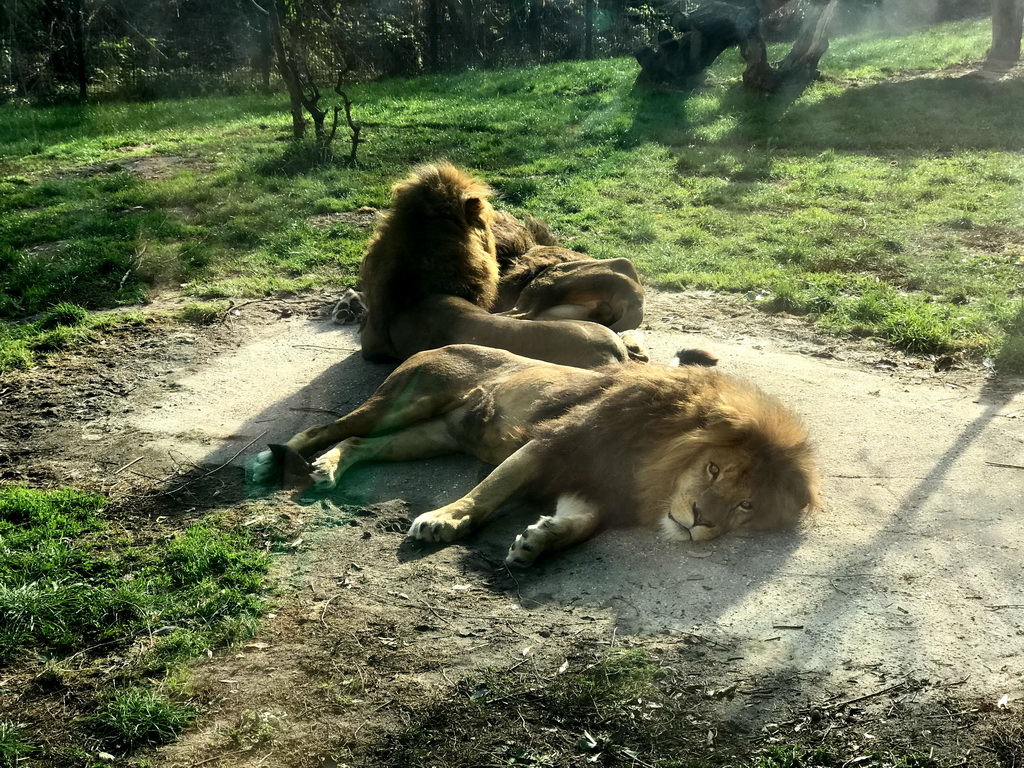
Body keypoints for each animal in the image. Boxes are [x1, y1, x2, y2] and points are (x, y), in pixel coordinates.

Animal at [251, 346, 819, 569]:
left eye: (746, 507)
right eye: (713, 468)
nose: (701, 523)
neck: (653, 470)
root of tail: (442, 343)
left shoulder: (593, 487)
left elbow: (581, 524)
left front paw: (539, 542)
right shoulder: (553, 442)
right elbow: (488, 492)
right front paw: (442, 521)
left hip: (430, 435)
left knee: (359, 445)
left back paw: (327, 467)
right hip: (404, 400)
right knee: (329, 426)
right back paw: (272, 463)